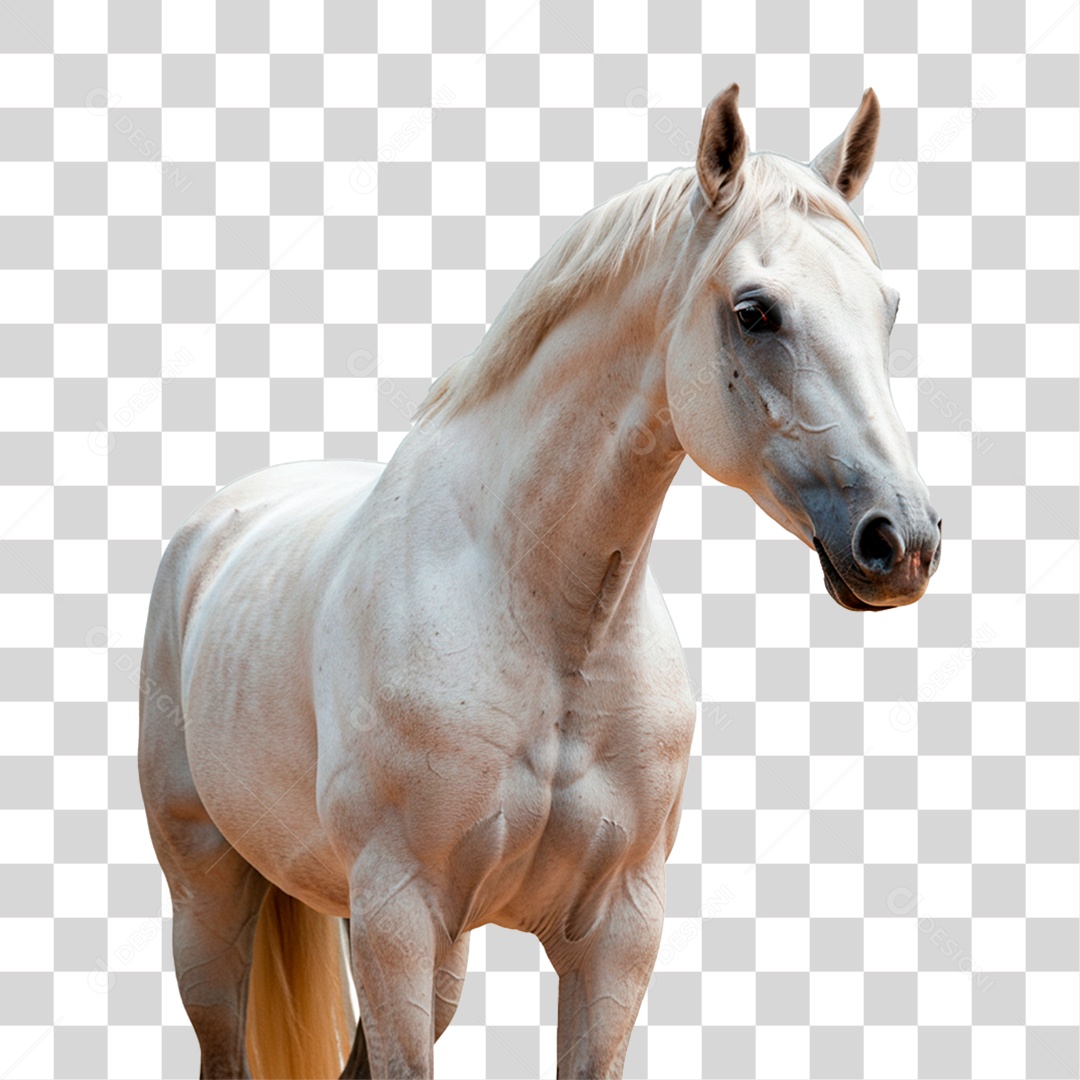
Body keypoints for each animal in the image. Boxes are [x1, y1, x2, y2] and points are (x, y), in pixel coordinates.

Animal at [138, 83, 941, 1079]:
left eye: (887, 308)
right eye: (756, 311)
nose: (901, 541)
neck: (544, 621)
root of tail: (215, 529)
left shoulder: (614, 933)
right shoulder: (399, 917)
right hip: (211, 901)